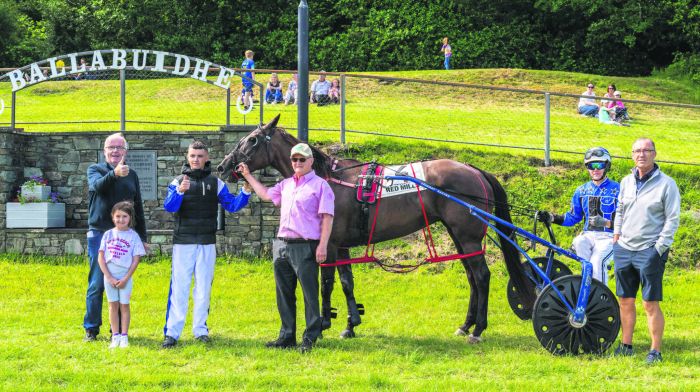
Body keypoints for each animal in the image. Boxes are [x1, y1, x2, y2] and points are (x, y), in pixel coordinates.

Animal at [216, 115, 532, 340]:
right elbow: (346, 282)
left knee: (481, 276)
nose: (223, 166)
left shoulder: (329, 244)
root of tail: (474, 170)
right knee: (471, 277)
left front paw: (325, 322)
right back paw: (466, 325)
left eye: (252, 140)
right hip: (459, 237)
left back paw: (478, 329)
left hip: (467, 237)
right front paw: (350, 323)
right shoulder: (342, 244)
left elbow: (327, 282)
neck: (328, 178)